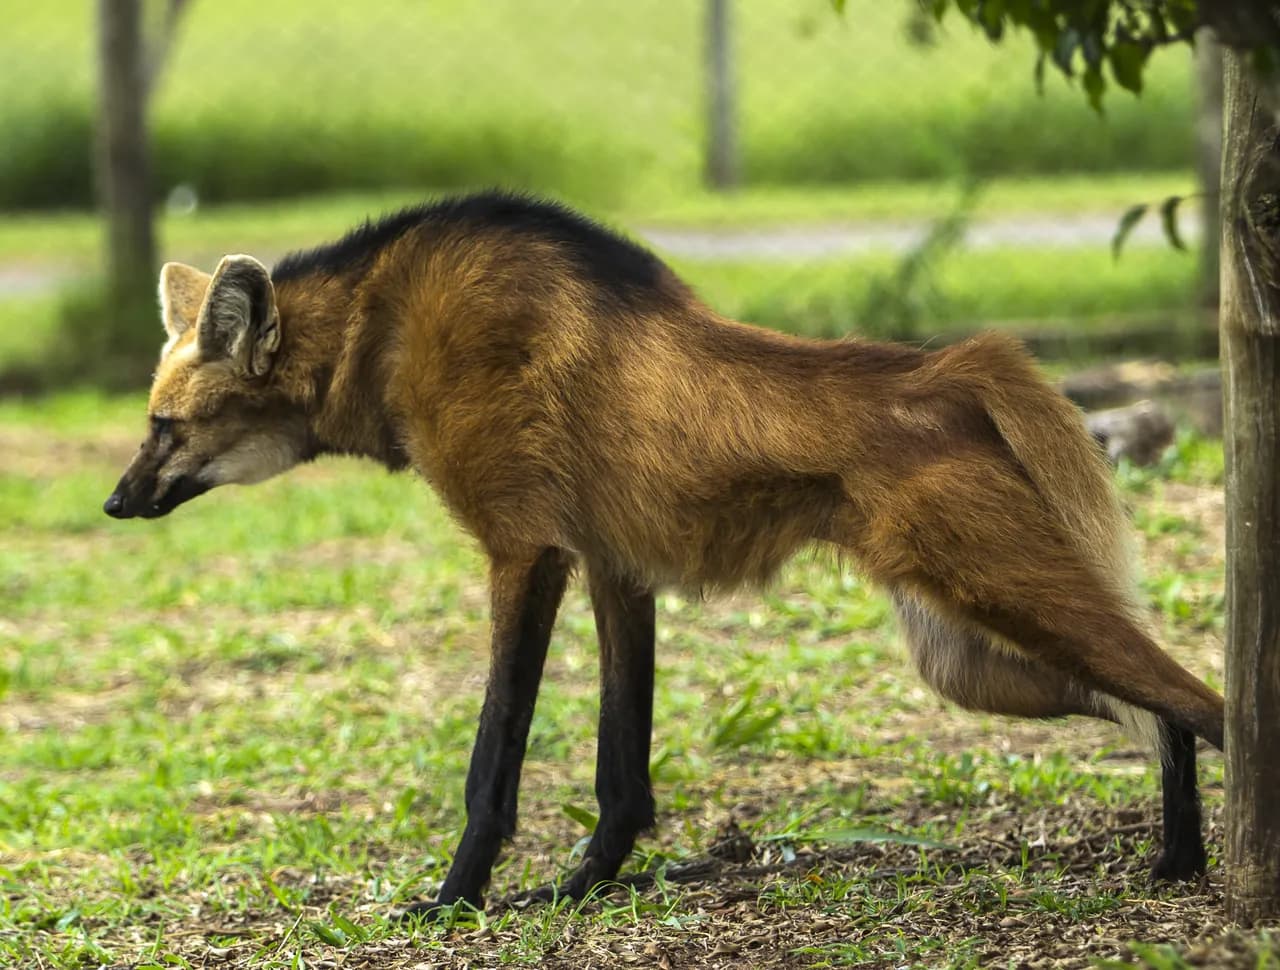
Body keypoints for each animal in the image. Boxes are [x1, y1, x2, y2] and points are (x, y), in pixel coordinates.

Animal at [104, 192, 1223, 917]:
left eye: (164, 425)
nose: (115, 501)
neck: (379, 331)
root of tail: (953, 368)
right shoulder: (612, 566)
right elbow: (621, 768)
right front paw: (578, 890)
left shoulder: (524, 551)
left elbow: (493, 755)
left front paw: (453, 899)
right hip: (965, 657)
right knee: (1163, 712)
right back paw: (1177, 858)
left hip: (996, 594)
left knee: (1205, 700)